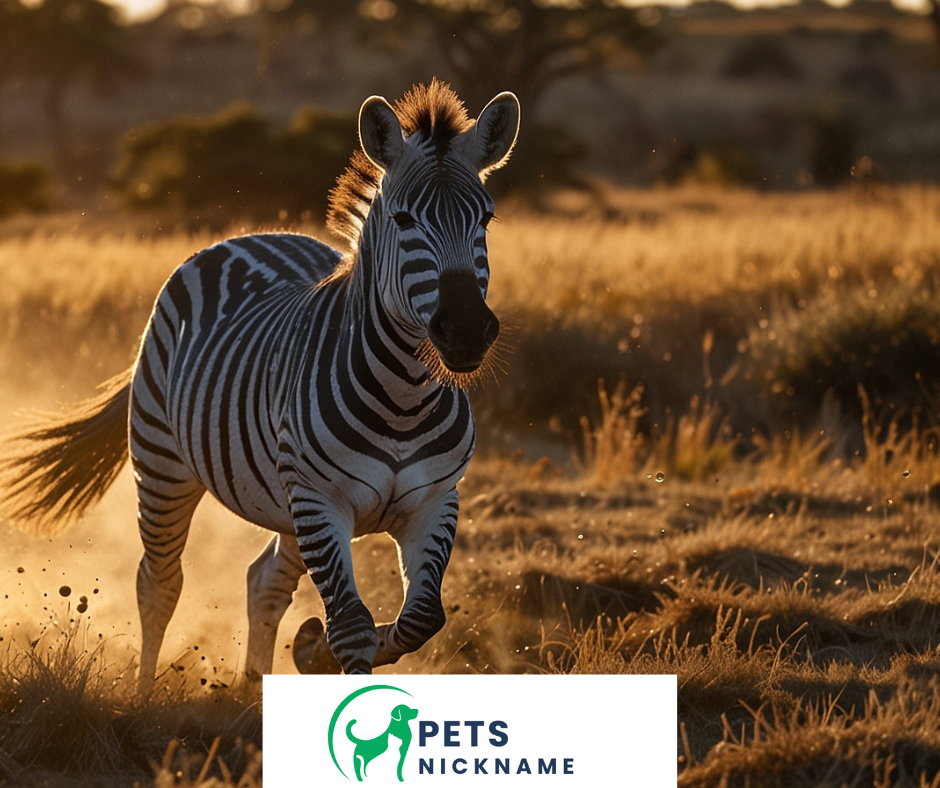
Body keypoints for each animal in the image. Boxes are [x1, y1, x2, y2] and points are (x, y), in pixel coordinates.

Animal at [0, 78, 520, 684]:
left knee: (263, 580)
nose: (466, 331)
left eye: (485, 219)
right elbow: (352, 624)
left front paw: (313, 652)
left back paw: (252, 687)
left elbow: (422, 618)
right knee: (159, 582)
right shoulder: (319, 500)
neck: (404, 397)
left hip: (282, 501)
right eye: (404, 219)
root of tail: (252, 235)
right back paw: (146, 690)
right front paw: (332, 655)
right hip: (163, 464)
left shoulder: (435, 502)